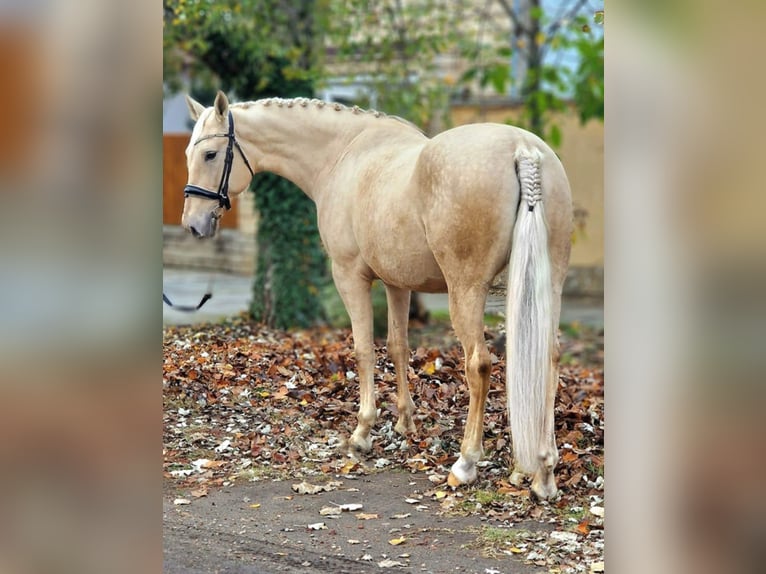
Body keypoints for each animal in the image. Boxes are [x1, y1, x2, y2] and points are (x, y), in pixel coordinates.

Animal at [180, 91, 572, 499]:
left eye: (210, 154)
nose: (193, 224)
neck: (342, 154)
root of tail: (522, 149)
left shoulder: (349, 276)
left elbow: (363, 349)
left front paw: (362, 432)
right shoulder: (397, 284)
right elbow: (398, 347)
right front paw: (404, 424)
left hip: (466, 291)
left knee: (478, 364)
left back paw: (466, 463)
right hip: (546, 288)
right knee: (548, 358)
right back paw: (541, 472)